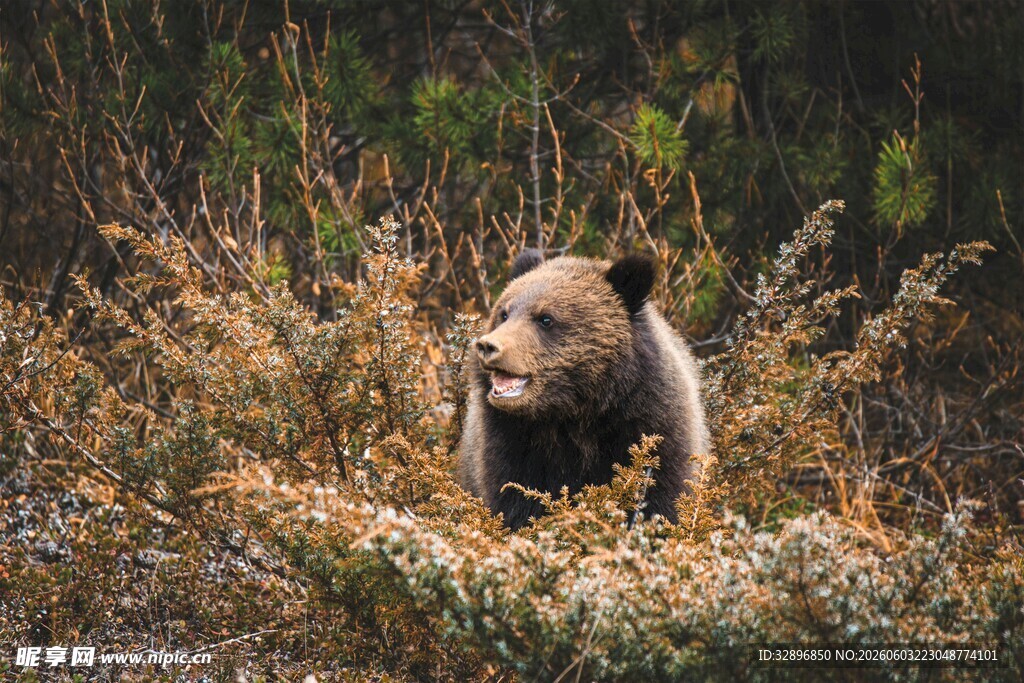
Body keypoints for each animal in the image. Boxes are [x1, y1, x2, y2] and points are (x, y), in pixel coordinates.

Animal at [458, 249, 710, 530]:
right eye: (504, 313)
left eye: (546, 318)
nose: (488, 346)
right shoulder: (511, 444)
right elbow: (513, 502)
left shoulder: (654, 430)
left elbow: (661, 501)